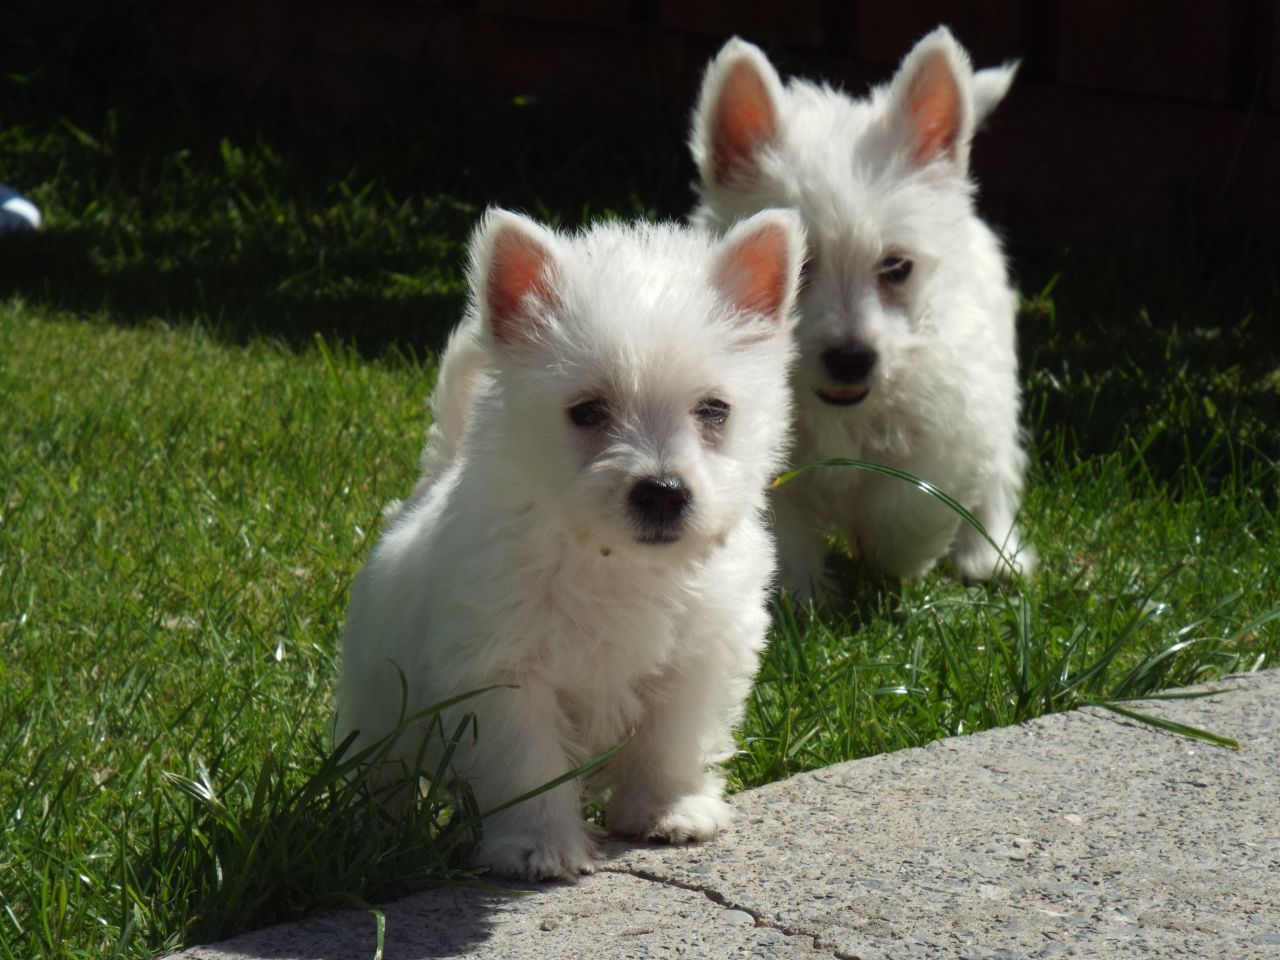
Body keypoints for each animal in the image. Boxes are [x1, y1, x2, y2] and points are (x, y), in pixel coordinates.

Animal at [335, 207, 803, 885]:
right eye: (586, 411)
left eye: (714, 409)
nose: (662, 491)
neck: (612, 560)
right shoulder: (504, 672)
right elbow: (528, 765)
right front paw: (539, 847)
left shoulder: (698, 656)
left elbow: (672, 739)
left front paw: (670, 811)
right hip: (377, 698)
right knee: (384, 766)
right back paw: (378, 828)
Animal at [691, 28, 1029, 601]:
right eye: (799, 266)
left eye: (896, 266)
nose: (851, 359)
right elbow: (783, 530)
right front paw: (800, 597)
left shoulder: (951, 424)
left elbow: (909, 503)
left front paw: (896, 561)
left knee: (998, 476)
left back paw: (990, 556)